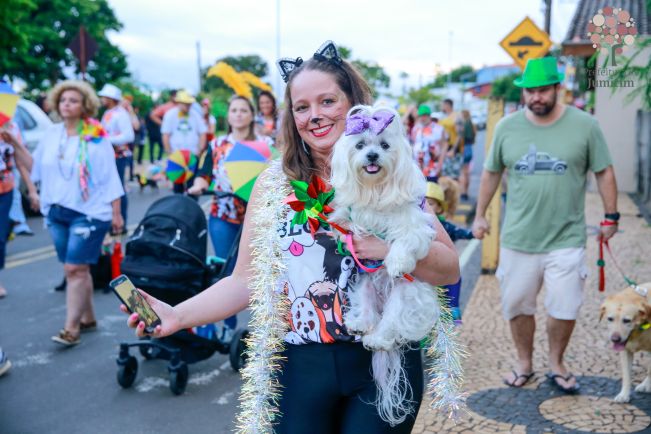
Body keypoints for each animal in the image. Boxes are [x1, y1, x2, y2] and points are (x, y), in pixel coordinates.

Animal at [332, 104, 444, 424]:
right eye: (360, 145)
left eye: (383, 146)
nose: (372, 156)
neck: (376, 190)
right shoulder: (355, 214)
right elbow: (345, 221)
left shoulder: (413, 224)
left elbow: (403, 241)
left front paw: (395, 262)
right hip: (364, 285)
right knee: (368, 311)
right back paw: (359, 324)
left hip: (403, 296)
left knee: (390, 324)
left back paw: (378, 339)